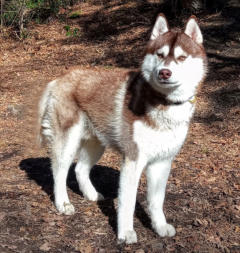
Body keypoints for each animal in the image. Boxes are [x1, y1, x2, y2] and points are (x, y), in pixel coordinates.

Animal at [39, 14, 206, 244]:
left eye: (181, 58)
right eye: (160, 55)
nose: (164, 72)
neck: (164, 103)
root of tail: (59, 79)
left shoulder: (162, 161)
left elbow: (157, 201)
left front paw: (159, 226)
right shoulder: (133, 160)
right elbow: (128, 203)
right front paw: (126, 232)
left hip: (97, 143)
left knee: (80, 168)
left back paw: (92, 195)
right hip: (67, 142)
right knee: (59, 172)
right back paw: (63, 203)